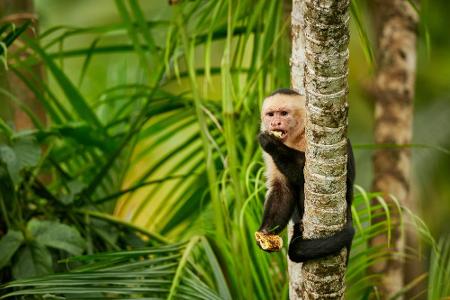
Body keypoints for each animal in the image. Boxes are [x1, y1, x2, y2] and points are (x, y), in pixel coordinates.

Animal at [253, 88, 356, 262]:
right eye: (271, 114)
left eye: (284, 113)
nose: (275, 123)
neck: (295, 137)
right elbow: (283, 189)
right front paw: (266, 232)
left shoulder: (313, 136)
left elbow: (311, 176)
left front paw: (271, 143)